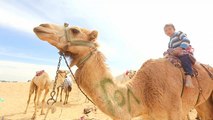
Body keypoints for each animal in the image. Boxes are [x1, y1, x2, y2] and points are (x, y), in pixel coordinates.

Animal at [33, 23, 213, 120]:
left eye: (75, 30)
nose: (41, 27)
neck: (143, 92)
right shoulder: (149, 115)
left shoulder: (174, 112)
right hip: (201, 103)